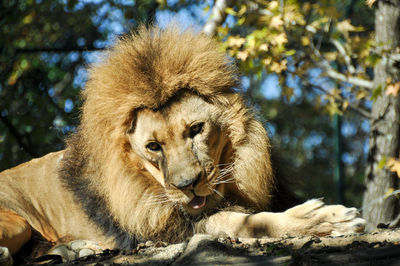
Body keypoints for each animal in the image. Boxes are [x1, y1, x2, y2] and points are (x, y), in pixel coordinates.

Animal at [0, 26, 366, 262]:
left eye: (195, 129)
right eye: (153, 147)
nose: (187, 185)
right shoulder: (169, 230)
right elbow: (242, 222)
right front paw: (326, 219)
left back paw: (77, 249)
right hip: (17, 221)